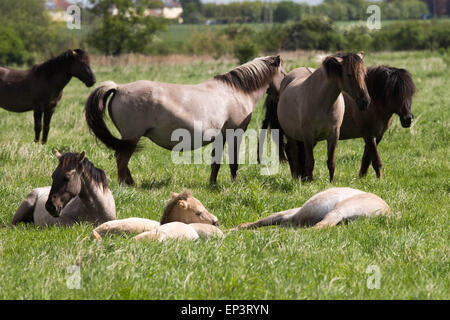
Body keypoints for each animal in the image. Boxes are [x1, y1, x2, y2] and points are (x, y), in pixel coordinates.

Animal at [84, 55, 284, 185]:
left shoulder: (220, 137)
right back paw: (125, 185)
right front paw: (234, 184)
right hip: (131, 137)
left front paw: (212, 184)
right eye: (283, 73)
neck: (236, 92)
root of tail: (118, 88)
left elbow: (216, 162)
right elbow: (233, 162)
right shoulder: (234, 133)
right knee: (121, 159)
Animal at [258, 64, 416, 180]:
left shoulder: (376, 136)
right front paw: (379, 180)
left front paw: (362, 178)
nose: (408, 119)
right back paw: (297, 176)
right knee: (291, 151)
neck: (373, 103)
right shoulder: (369, 135)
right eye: (394, 92)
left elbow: (367, 159)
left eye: (410, 93)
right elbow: (376, 160)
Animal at [276, 52, 370, 182]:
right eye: (349, 75)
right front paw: (310, 182)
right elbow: (310, 161)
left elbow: (331, 162)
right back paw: (296, 176)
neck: (323, 102)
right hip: (291, 134)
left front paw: (331, 182)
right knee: (292, 151)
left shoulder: (333, 134)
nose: (365, 102)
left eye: (364, 74)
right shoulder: (308, 135)